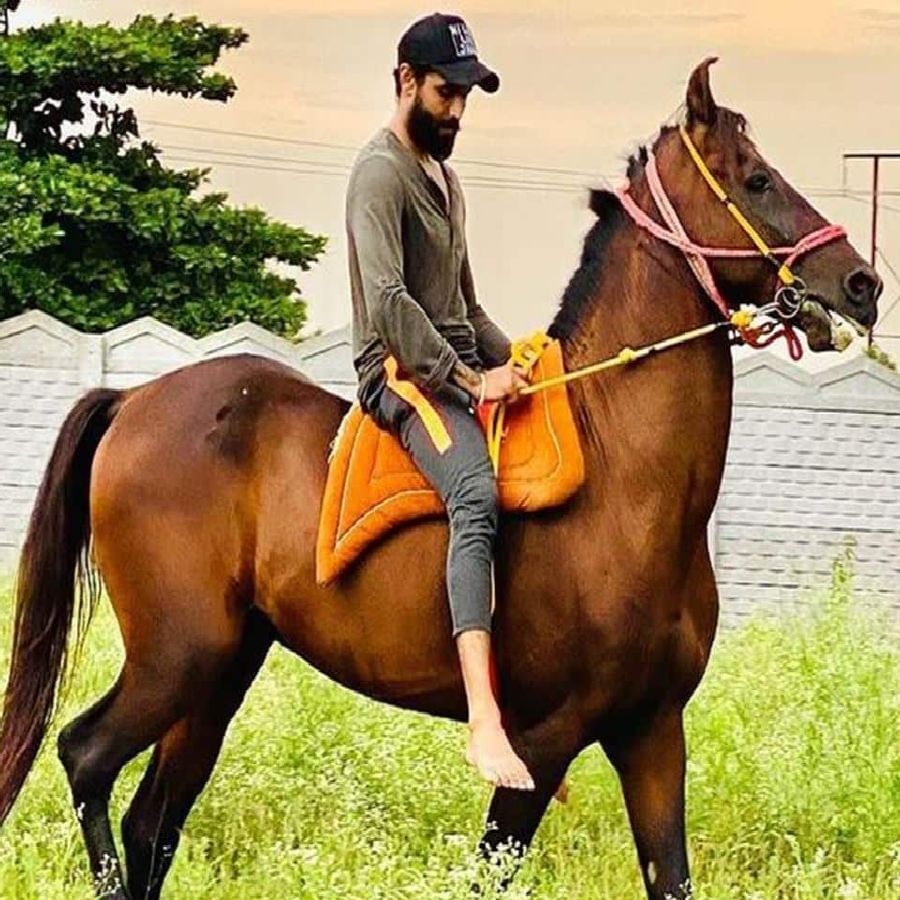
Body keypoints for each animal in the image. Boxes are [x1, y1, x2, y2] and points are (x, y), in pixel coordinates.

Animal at [0, 63, 884, 900]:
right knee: (84, 756)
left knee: (153, 822)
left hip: (220, 671)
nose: (862, 284)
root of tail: (133, 401)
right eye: (756, 177)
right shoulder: (544, 744)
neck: (625, 480)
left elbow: (671, 874)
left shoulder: (653, 735)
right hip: (176, 658)